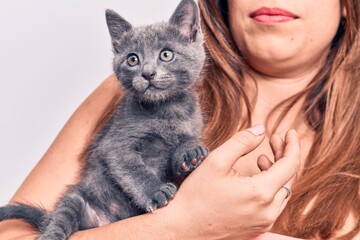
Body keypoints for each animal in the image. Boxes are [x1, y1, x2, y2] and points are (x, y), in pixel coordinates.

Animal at [0, 0, 208, 239]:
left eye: (166, 54)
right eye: (133, 59)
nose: (147, 73)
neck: (166, 110)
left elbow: (183, 144)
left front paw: (191, 153)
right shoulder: (116, 145)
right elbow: (133, 169)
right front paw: (155, 191)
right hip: (77, 200)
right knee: (60, 220)